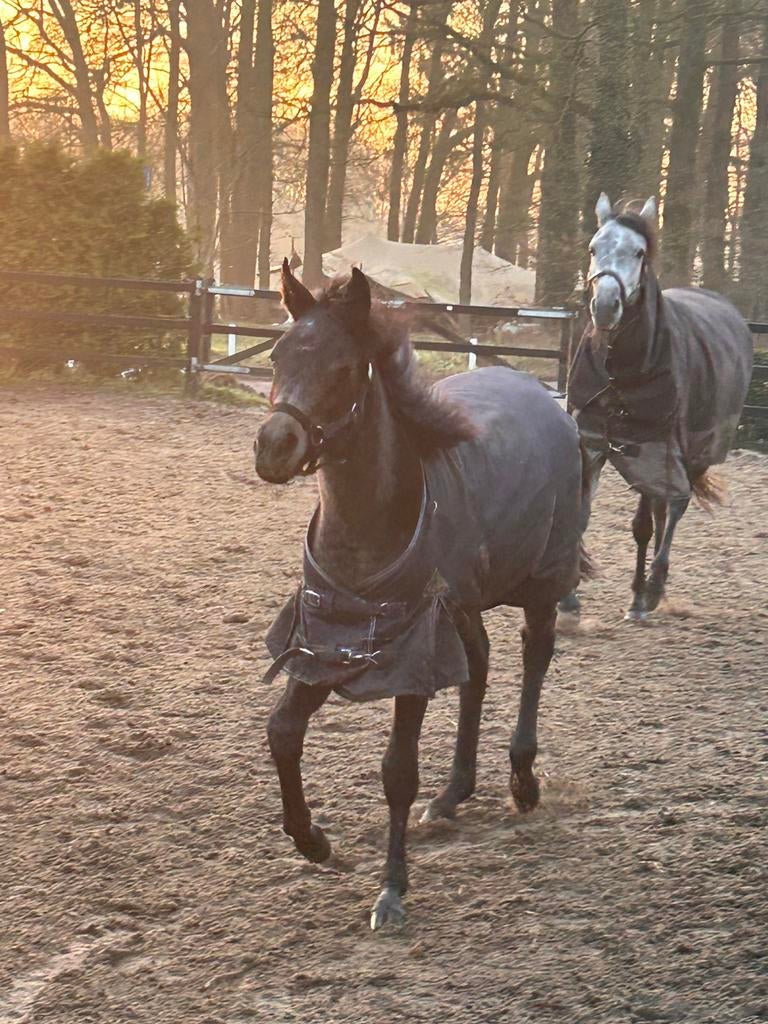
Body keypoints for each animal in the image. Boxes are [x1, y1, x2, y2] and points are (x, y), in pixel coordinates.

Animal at [255, 261, 592, 929]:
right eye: (277, 354)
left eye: (343, 366)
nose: (274, 446)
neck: (366, 531)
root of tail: (544, 395)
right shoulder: (326, 644)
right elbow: (282, 733)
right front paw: (314, 841)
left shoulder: (408, 655)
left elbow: (397, 771)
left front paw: (391, 890)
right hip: (462, 604)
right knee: (480, 665)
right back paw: (453, 793)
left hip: (542, 581)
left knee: (534, 655)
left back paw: (522, 779)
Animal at [564, 193, 753, 620]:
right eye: (593, 248)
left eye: (639, 252)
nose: (605, 306)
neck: (622, 370)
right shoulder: (592, 444)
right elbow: (581, 514)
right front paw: (568, 595)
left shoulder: (653, 449)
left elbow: (647, 524)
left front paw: (645, 593)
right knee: (662, 510)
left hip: (693, 452)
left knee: (672, 510)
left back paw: (649, 590)